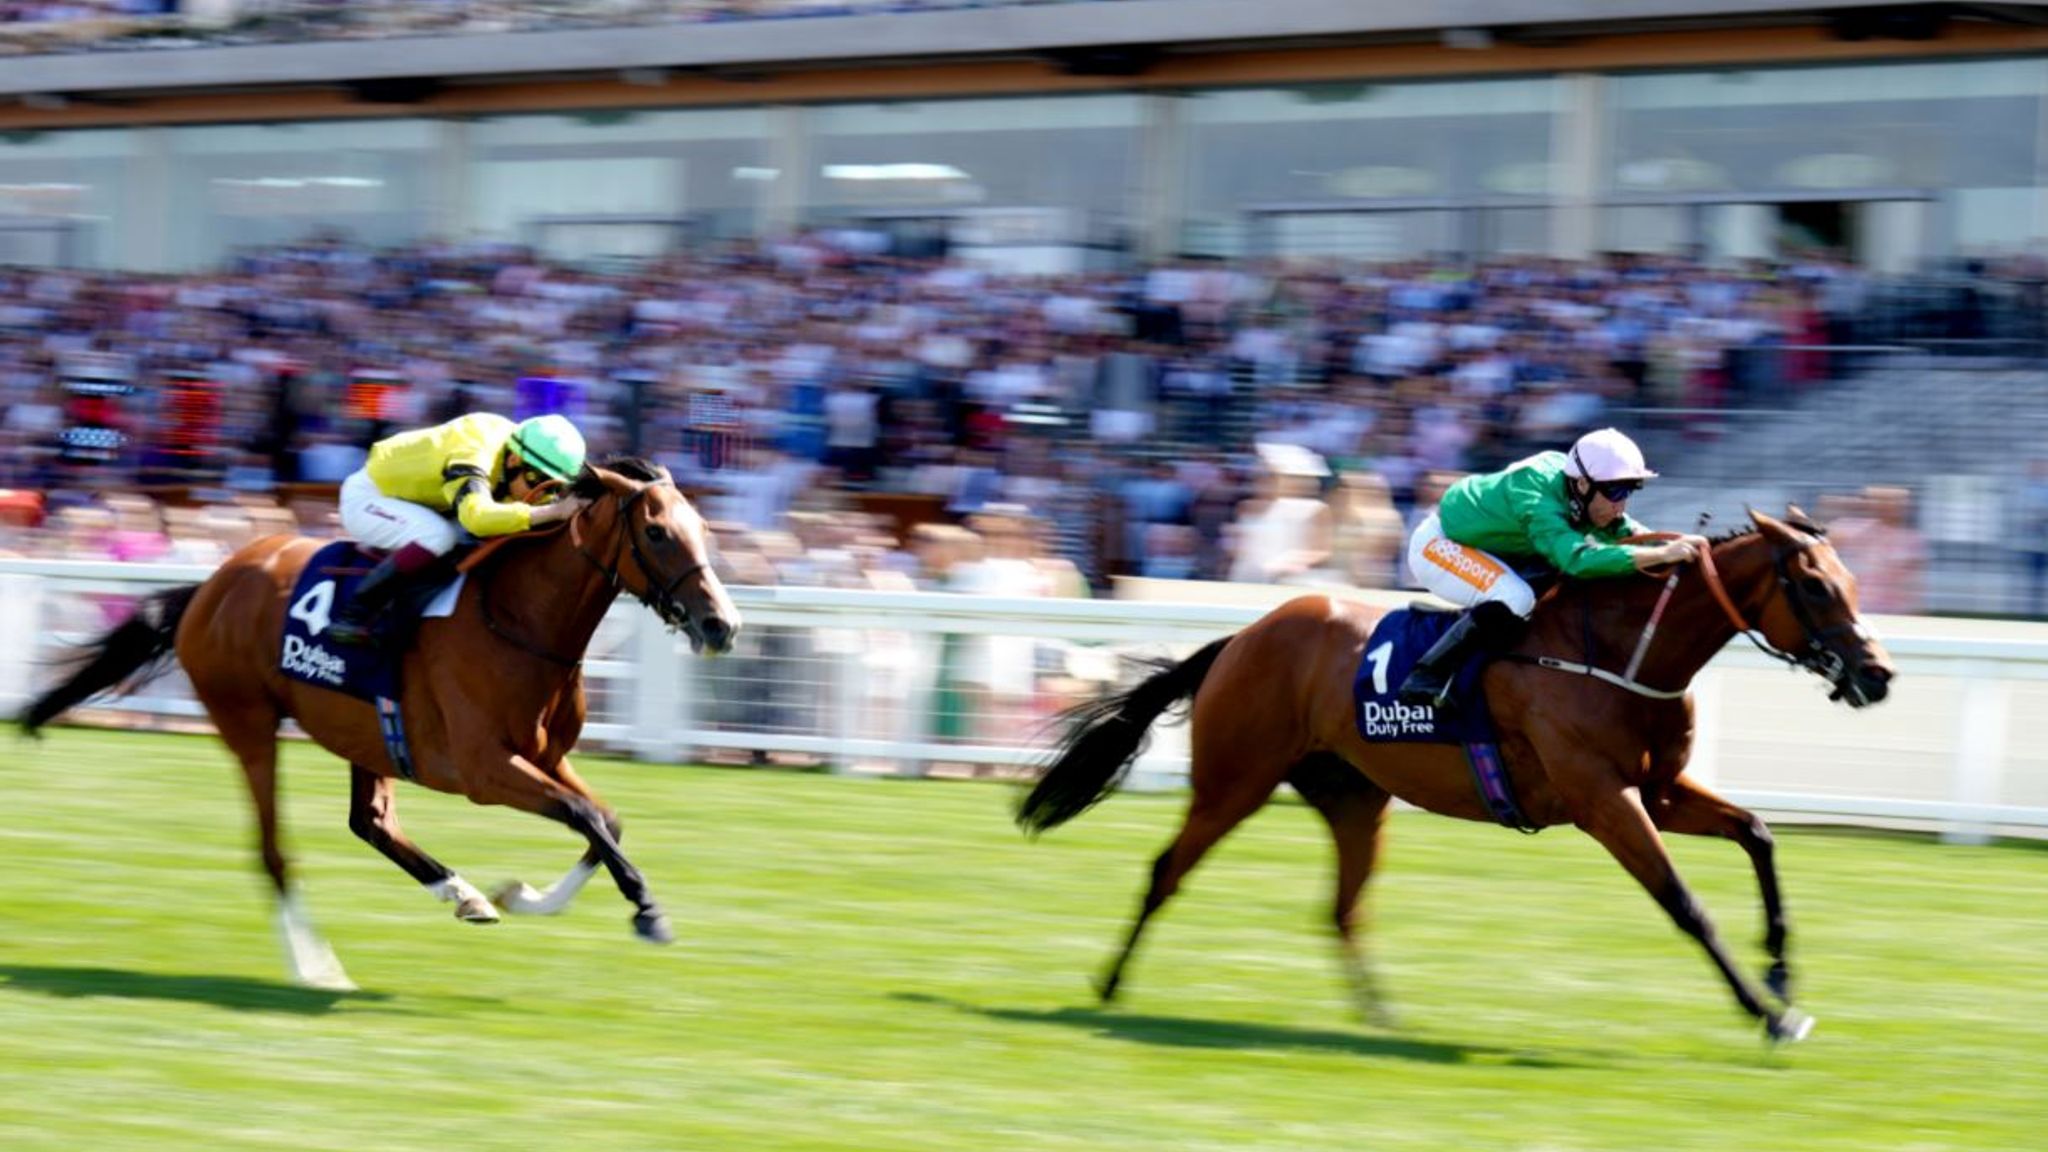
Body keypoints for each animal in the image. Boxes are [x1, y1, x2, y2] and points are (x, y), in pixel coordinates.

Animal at [18, 455, 737, 988]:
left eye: (703, 529)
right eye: (657, 532)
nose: (721, 625)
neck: (519, 618)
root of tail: (212, 584)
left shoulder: (545, 756)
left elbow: (604, 821)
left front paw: (521, 895)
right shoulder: (482, 769)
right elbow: (585, 816)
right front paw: (647, 913)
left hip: (366, 735)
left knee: (371, 822)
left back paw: (463, 894)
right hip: (248, 724)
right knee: (274, 853)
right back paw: (317, 967)